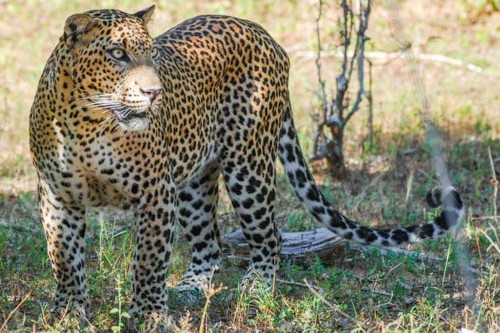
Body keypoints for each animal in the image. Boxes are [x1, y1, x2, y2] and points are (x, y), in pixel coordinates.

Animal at [29, 4, 462, 330]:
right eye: (117, 54)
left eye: (151, 55)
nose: (155, 93)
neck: (88, 122)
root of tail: (264, 34)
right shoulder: (57, 197)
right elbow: (65, 259)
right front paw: (68, 313)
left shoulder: (155, 195)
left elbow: (148, 263)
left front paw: (150, 317)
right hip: (194, 183)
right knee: (209, 243)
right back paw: (190, 287)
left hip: (248, 168)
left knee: (269, 237)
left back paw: (257, 289)